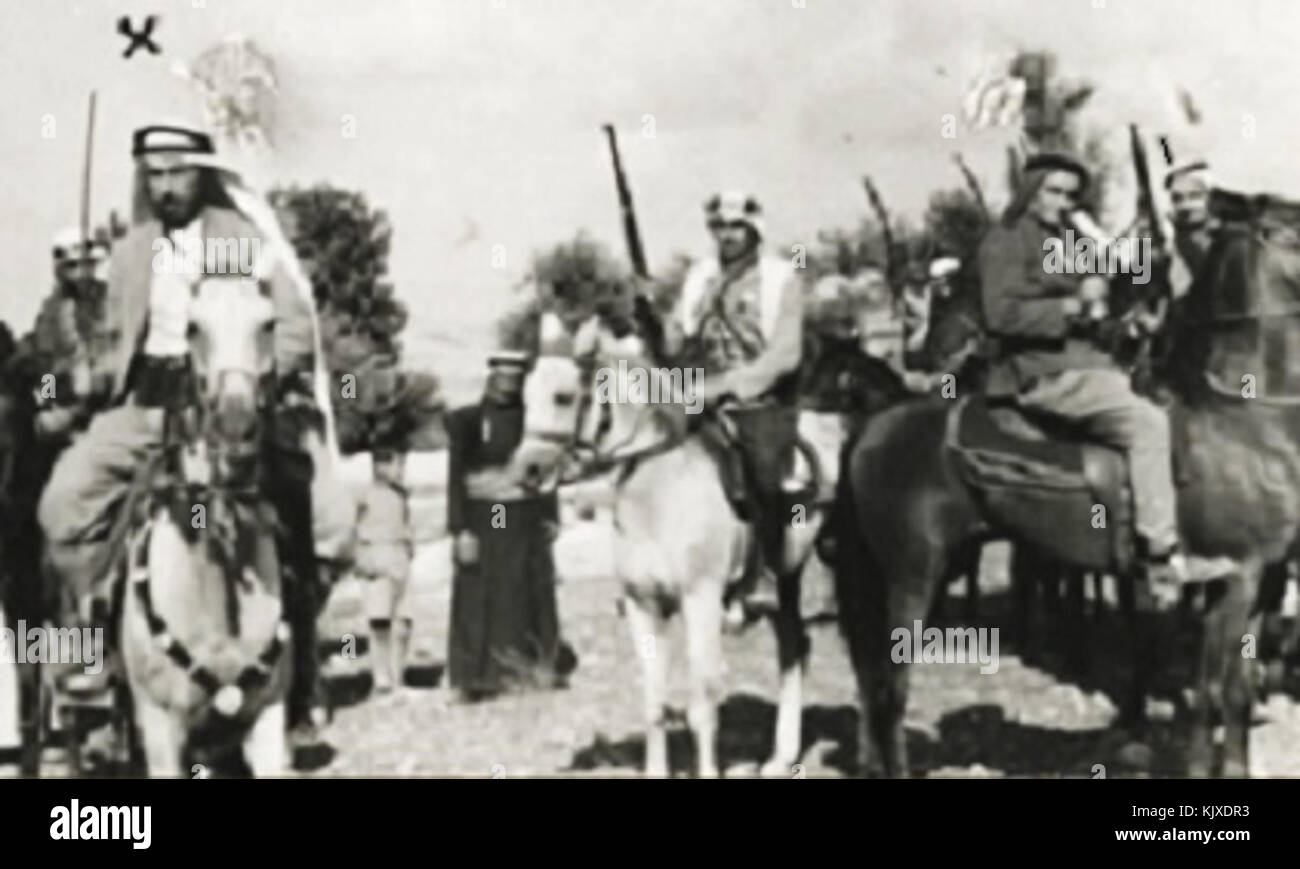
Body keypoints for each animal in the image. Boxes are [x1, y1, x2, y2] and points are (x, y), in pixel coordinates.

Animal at [837, 193, 1300, 775]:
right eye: (1292, 226)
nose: (927, 352)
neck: (1244, 417)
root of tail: (873, 426)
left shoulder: (1261, 581)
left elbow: (1234, 691)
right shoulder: (1232, 579)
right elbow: (1212, 693)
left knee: (873, 683)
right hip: (911, 577)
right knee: (890, 690)